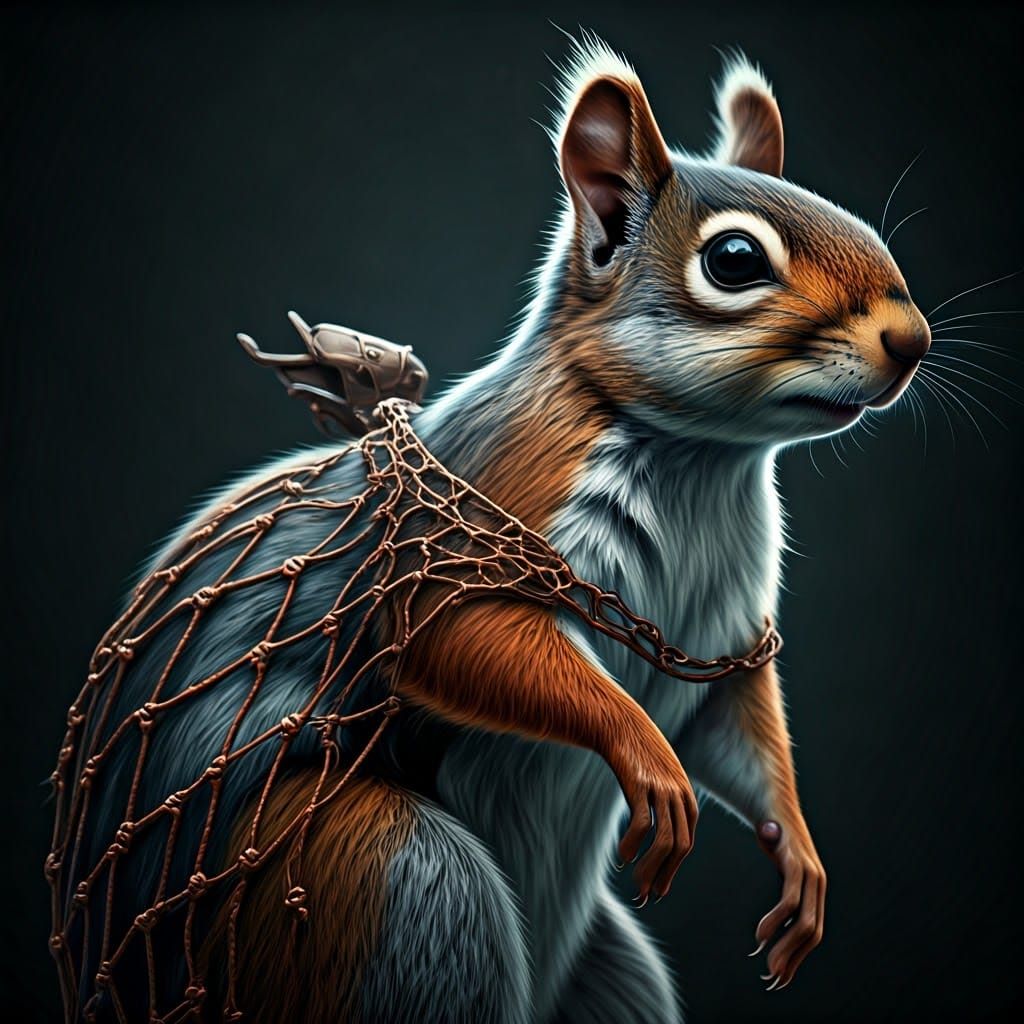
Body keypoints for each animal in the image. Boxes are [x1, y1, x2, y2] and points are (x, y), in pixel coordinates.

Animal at [69, 35, 931, 1024]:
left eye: (864, 226)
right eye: (736, 260)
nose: (913, 341)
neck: (700, 463)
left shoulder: (723, 634)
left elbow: (738, 727)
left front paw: (798, 855)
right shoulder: (479, 517)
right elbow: (463, 638)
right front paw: (646, 755)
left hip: (607, 979)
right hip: (388, 881)